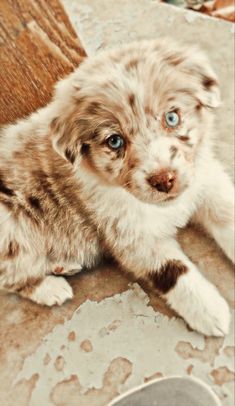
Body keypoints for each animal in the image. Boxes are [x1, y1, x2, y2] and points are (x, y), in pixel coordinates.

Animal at [0, 38, 234, 336]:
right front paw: (209, 310)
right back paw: (51, 288)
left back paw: (63, 264)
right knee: (10, 276)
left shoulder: (205, 179)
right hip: (9, 227)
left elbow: (227, 213)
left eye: (172, 118)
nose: (164, 180)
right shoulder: (129, 235)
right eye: (115, 141)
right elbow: (171, 269)